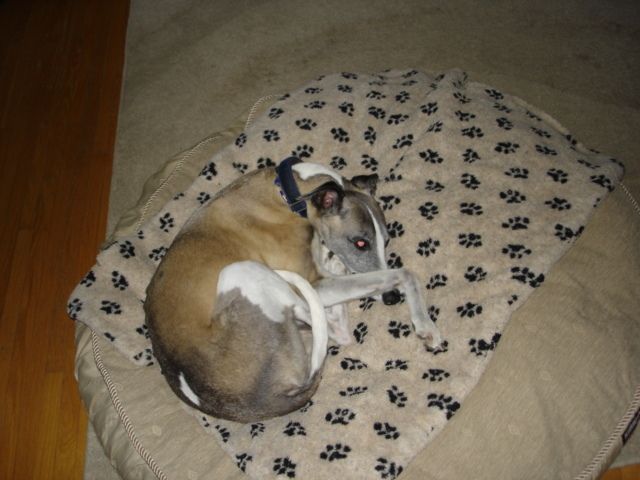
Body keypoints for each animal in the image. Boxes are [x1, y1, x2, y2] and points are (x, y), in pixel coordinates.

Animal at [145, 157, 441, 423]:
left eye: (386, 241)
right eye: (359, 242)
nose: (391, 299)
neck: (289, 197)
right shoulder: (315, 284)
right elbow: (404, 273)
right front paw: (425, 325)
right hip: (244, 272)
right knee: (334, 332)